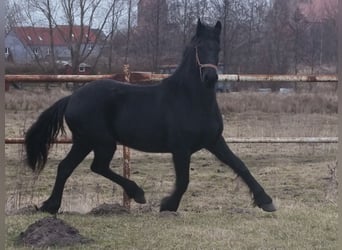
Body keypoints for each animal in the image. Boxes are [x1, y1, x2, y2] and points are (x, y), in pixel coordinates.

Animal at [24, 20, 276, 215]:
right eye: (199, 46)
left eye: (218, 47)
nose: (210, 77)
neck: (190, 99)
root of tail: (72, 98)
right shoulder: (180, 148)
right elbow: (183, 180)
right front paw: (168, 205)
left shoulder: (214, 141)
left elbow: (240, 165)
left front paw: (266, 201)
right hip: (100, 142)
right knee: (95, 166)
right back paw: (137, 193)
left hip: (85, 142)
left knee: (66, 167)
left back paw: (50, 206)